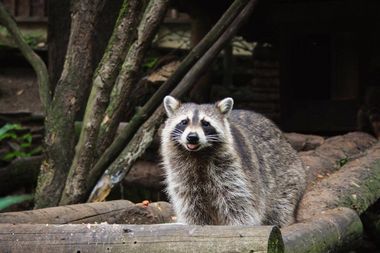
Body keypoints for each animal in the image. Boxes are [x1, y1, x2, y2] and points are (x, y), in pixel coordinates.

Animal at [160, 96, 306, 226]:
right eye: (184, 122)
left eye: (205, 123)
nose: (192, 137)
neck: (197, 154)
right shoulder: (182, 175)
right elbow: (191, 206)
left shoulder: (234, 170)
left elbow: (239, 203)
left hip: (289, 179)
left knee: (280, 208)